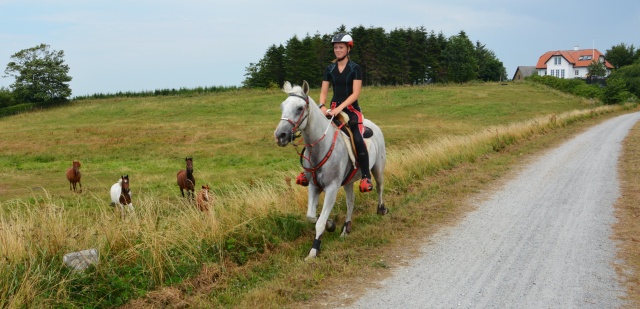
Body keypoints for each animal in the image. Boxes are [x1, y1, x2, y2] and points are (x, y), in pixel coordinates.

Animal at [272, 80, 388, 258]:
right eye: (282, 106)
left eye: (299, 108)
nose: (280, 136)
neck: (321, 147)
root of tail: (374, 126)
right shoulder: (313, 187)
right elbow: (311, 216)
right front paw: (331, 224)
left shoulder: (332, 188)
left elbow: (319, 223)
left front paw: (314, 249)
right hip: (348, 182)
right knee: (350, 202)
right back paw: (346, 229)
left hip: (378, 169)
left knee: (380, 187)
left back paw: (381, 209)